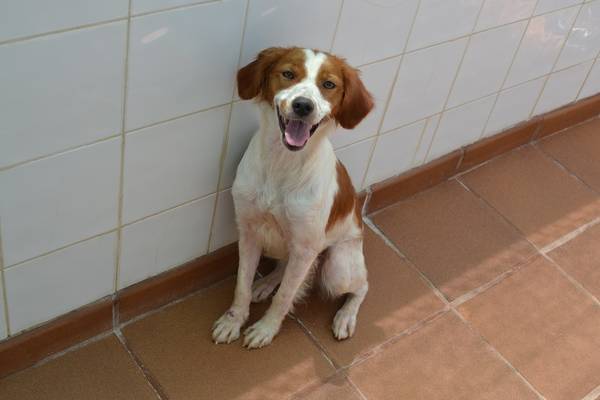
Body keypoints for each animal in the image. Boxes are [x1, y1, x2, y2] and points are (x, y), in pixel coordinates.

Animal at [212, 47, 374, 349]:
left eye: (329, 84)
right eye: (288, 73)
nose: (303, 106)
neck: (282, 163)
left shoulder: (306, 247)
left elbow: (285, 296)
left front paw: (266, 328)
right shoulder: (249, 231)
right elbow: (242, 285)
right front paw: (232, 321)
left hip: (336, 266)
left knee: (362, 286)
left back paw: (346, 317)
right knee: (283, 267)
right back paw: (264, 284)